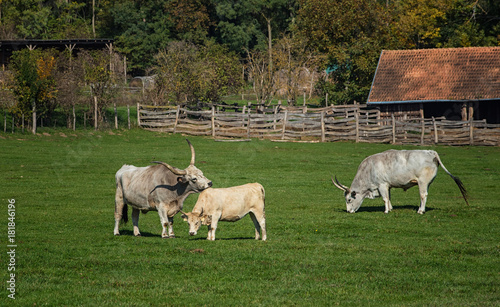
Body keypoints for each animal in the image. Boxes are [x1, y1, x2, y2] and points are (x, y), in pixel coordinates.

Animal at [332, 150, 468, 215]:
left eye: (349, 200)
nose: (348, 211)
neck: (369, 168)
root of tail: (431, 152)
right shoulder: (388, 186)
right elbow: (389, 197)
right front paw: (391, 208)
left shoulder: (382, 185)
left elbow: (385, 198)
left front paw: (386, 211)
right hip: (426, 184)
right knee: (423, 196)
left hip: (423, 182)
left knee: (423, 195)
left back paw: (421, 211)